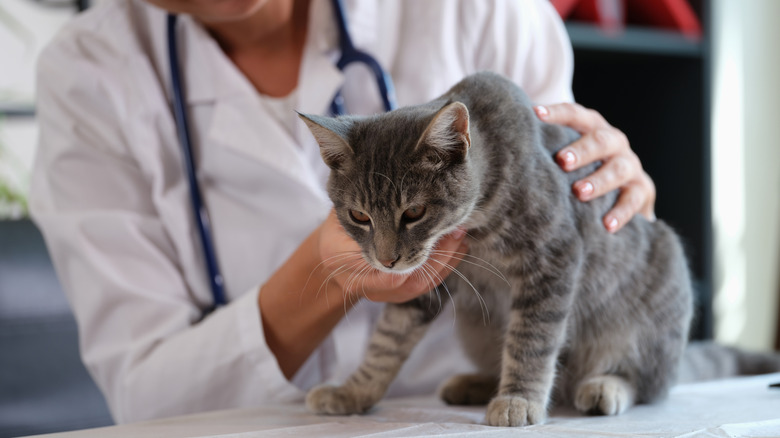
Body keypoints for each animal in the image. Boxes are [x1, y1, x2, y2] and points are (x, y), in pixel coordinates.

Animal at [298, 72, 696, 428]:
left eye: (413, 213)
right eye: (358, 216)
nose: (386, 260)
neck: (477, 223)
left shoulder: (553, 256)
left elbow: (531, 339)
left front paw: (519, 399)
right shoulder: (426, 282)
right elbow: (387, 341)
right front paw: (353, 391)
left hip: (651, 311)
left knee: (649, 382)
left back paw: (605, 386)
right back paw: (474, 383)